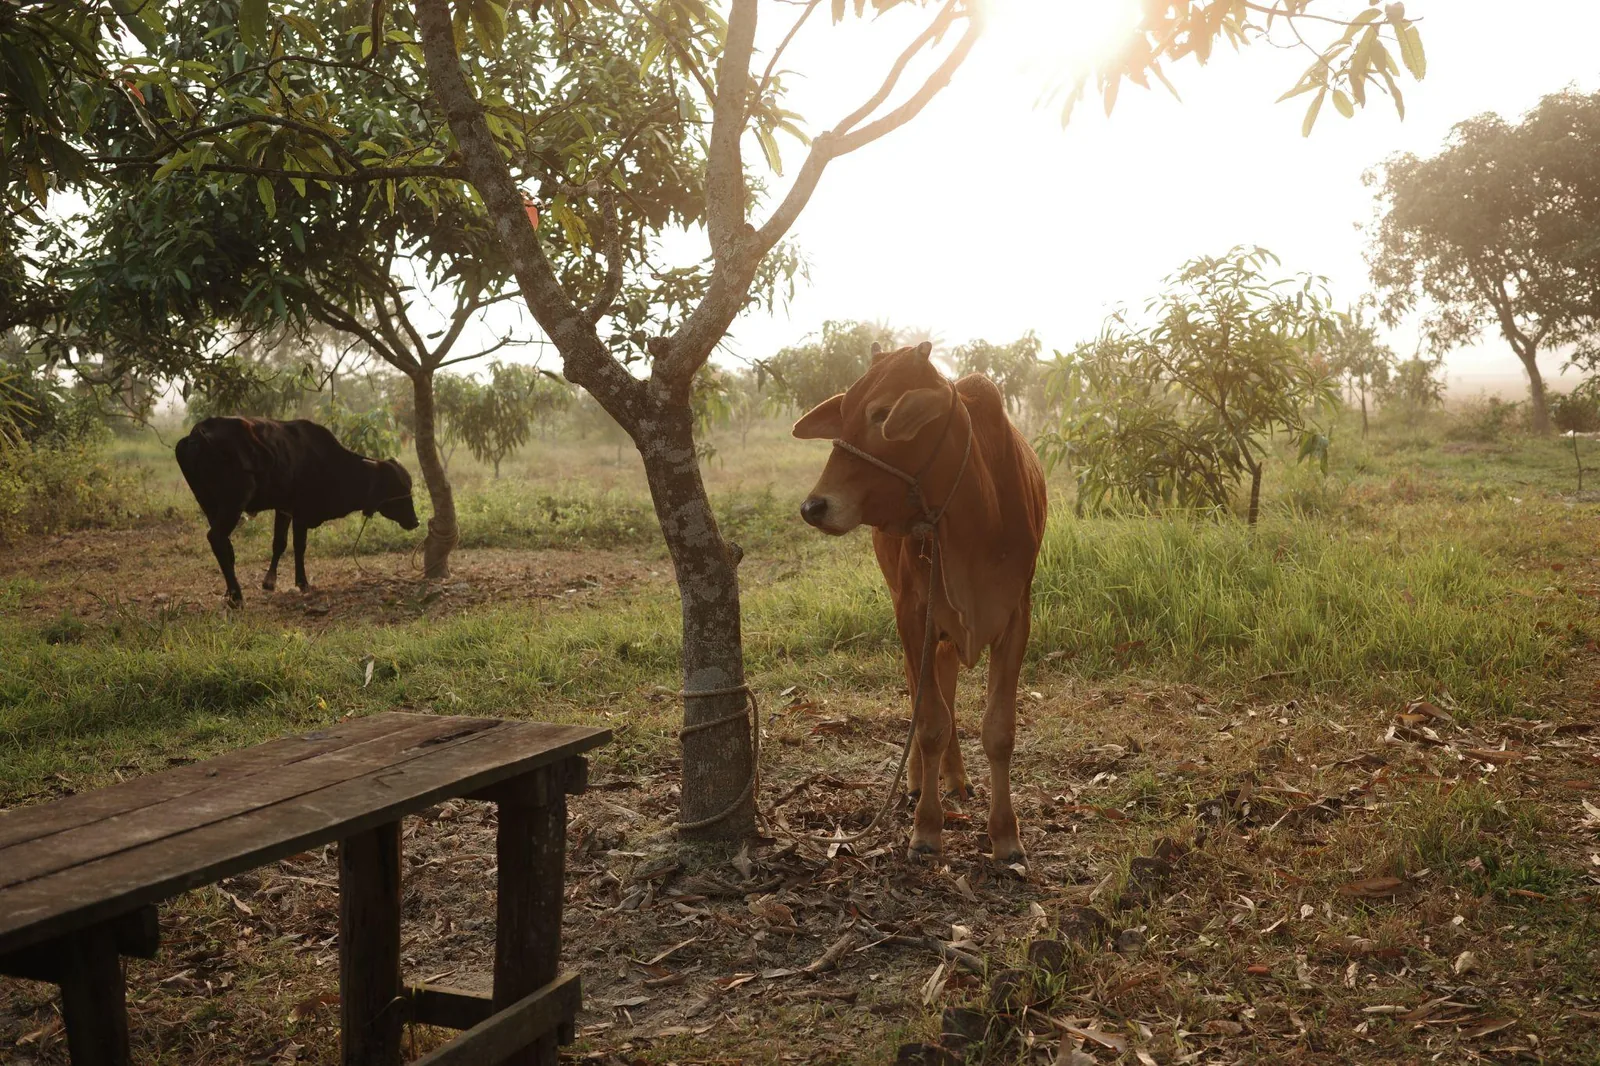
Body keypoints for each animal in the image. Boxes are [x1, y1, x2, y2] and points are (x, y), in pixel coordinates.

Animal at [174, 416, 419, 606]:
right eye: (397, 487)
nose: (415, 522)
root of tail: (198, 433)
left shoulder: (284, 508)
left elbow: (279, 543)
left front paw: (269, 581)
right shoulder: (301, 511)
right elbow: (299, 546)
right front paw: (303, 582)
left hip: (209, 505)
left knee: (224, 544)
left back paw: (230, 590)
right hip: (233, 503)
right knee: (217, 538)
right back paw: (237, 596)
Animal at [793, 341, 1047, 864]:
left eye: (882, 414)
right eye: (844, 413)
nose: (814, 507)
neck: (976, 512)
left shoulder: (1016, 615)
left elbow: (999, 730)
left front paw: (1006, 835)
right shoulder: (913, 615)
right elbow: (929, 721)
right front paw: (927, 829)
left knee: (945, 684)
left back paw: (957, 778)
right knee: (921, 693)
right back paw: (918, 781)